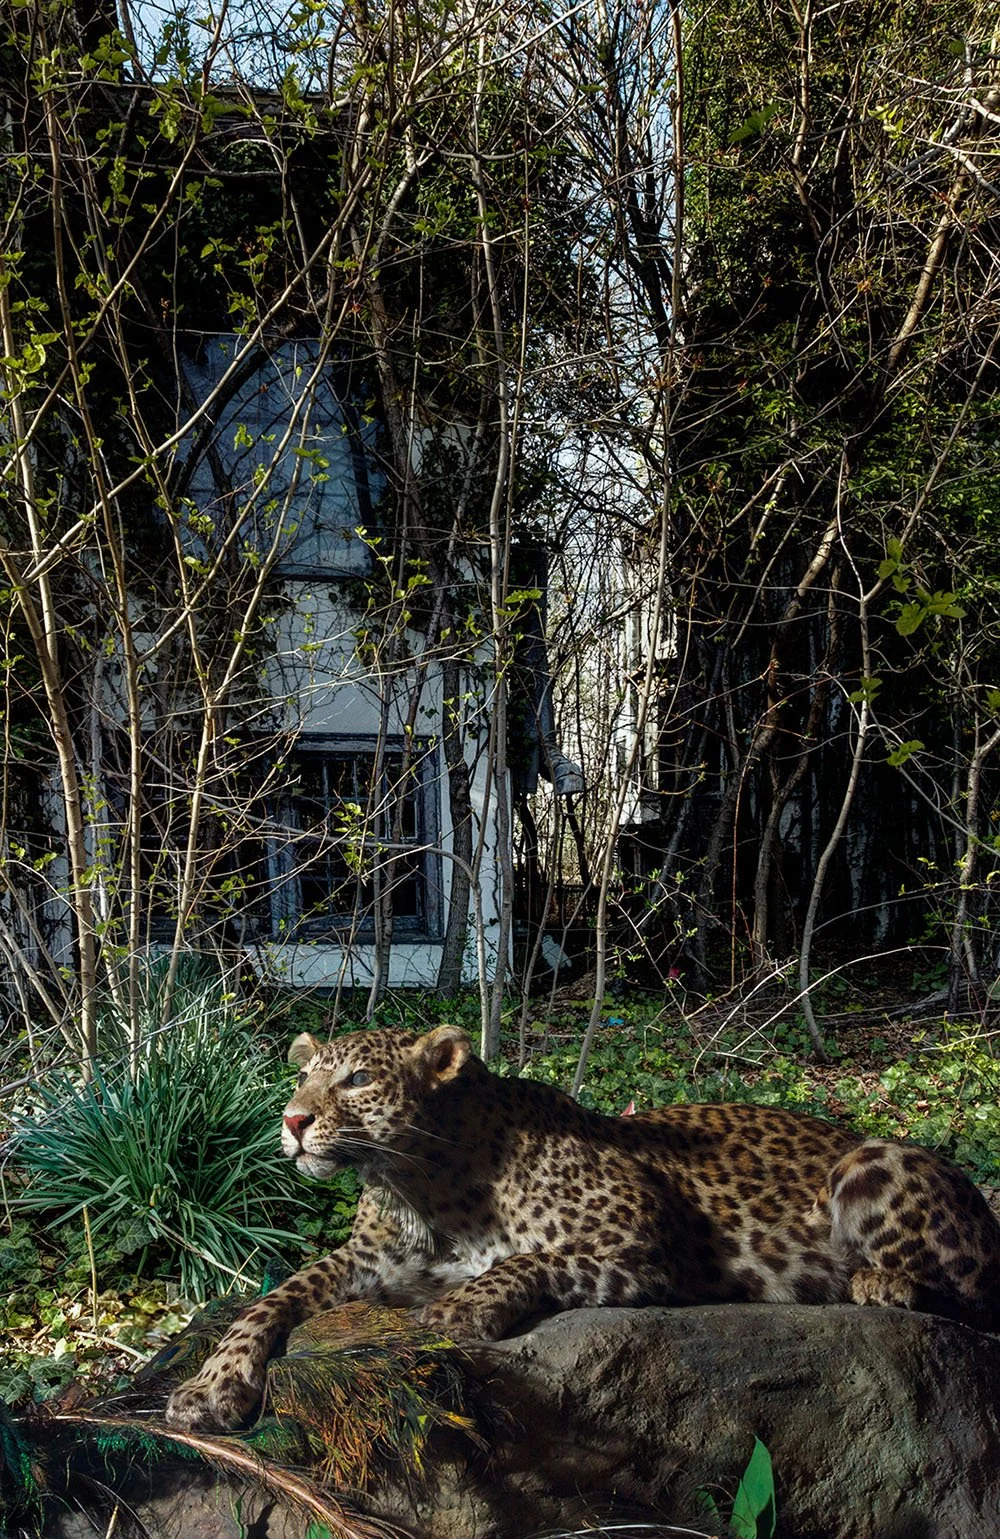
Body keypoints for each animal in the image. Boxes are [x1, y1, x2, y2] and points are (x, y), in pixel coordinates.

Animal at [165, 1023, 1000, 1432]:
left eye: (359, 1079)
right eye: (302, 1077)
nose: (291, 1121)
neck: (416, 1185)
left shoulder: (644, 1235)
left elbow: (534, 1258)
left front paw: (463, 1305)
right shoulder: (363, 1259)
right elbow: (266, 1301)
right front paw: (210, 1384)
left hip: (871, 1157)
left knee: (976, 1294)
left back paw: (879, 1281)